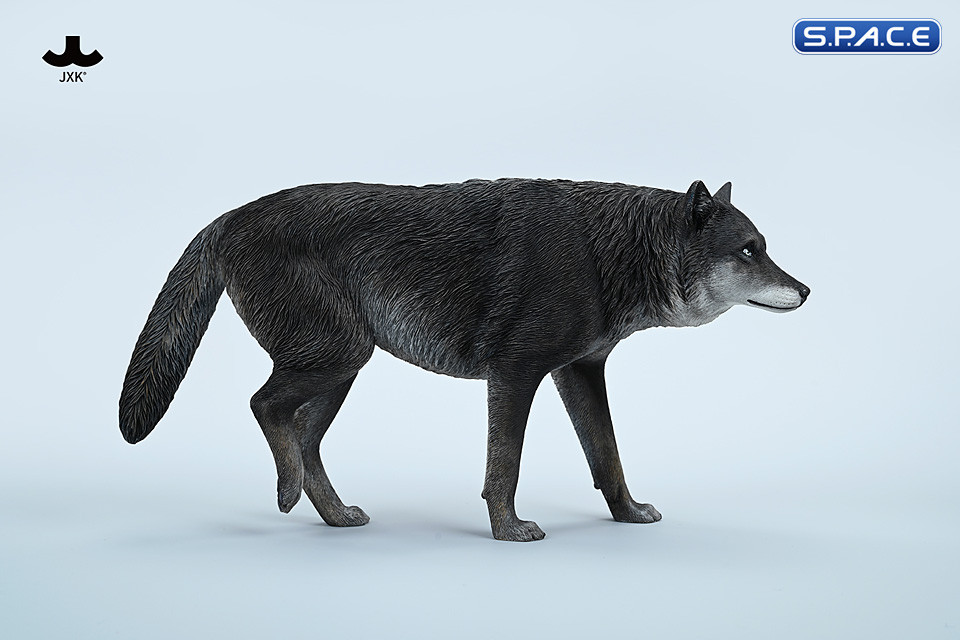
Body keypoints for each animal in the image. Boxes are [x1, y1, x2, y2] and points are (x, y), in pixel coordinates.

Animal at [119, 178, 809, 541]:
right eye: (749, 250)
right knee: (264, 406)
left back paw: (336, 515)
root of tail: (229, 214)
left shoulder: (580, 372)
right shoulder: (515, 373)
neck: (603, 251)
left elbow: (607, 458)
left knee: (301, 437)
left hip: (342, 369)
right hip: (336, 358)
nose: (805, 291)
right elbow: (504, 467)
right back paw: (290, 494)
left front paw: (628, 515)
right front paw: (509, 530)